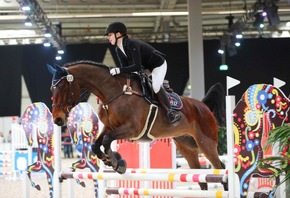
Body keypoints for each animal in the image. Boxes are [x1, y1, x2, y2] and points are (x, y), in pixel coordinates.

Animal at [48, 60, 227, 190]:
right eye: (51, 90)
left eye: (62, 88)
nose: (57, 120)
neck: (113, 93)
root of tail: (203, 105)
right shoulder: (110, 127)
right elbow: (96, 144)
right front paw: (112, 160)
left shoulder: (131, 129)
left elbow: (107, 140)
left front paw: (116, 162)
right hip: (186, 147)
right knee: (201, 177)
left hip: (206, 143)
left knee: (220, 167)